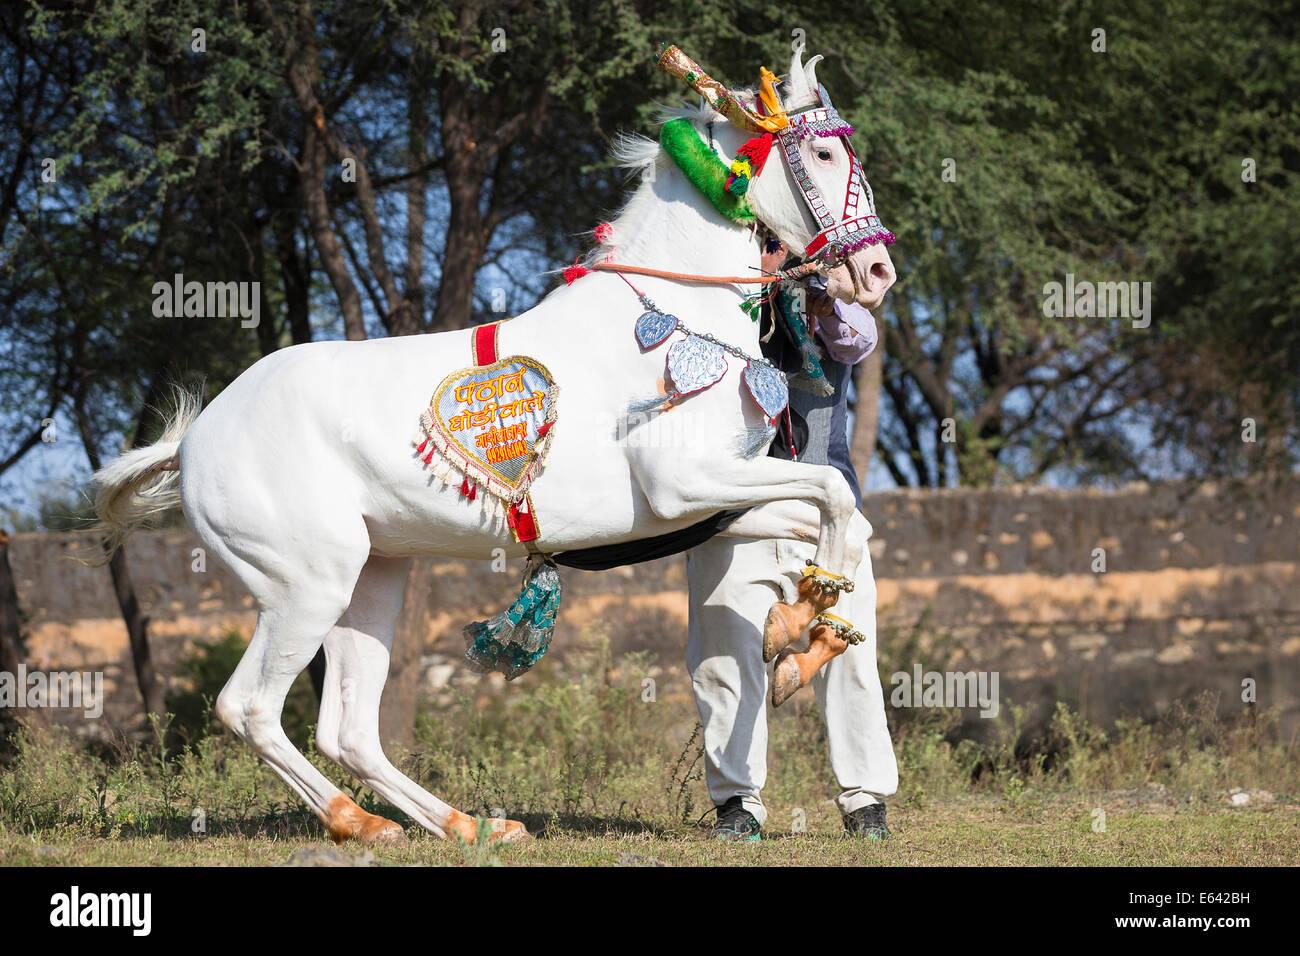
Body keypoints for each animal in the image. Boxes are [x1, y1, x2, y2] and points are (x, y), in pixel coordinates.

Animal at [90, 46, 896, 844]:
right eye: (823, 152)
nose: (877, 272)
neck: (676, 314)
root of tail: (193, 442)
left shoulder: (714, 503)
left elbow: (846, 520)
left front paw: (807, 631)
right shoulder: (684, 484)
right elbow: (832, 490)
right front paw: (792, 628)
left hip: (371, 578)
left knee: (347, 730)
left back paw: (464, 826)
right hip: (305, 583)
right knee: (250, 708)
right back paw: (360, 823)